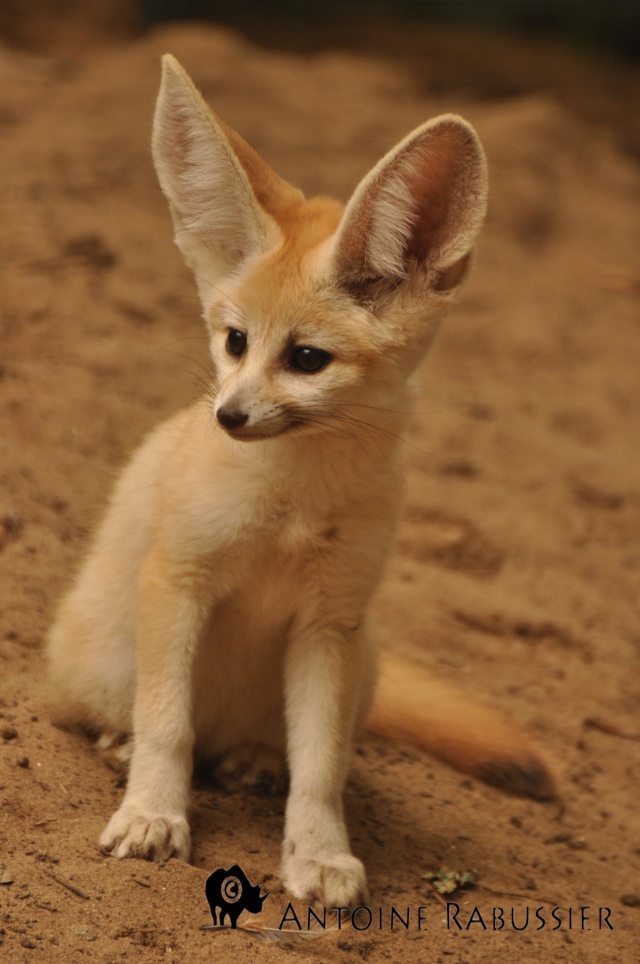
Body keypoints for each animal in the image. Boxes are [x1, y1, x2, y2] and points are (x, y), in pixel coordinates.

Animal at [47, 56, 552, 908]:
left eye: (307, 359)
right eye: (234, 341)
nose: (228, 416)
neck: (292, 505)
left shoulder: (328, 621)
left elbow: (321, 766)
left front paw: (317, 855)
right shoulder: (179, 579)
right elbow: (168, 725)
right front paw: (153, 815)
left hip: (357, 659)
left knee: (284, 747)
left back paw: (253, 760)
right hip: (107, 658)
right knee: (152, 721)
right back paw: (124, 745)